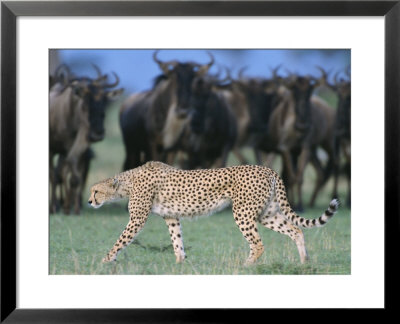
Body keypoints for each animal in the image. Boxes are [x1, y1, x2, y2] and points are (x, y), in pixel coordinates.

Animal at [87, 162, 338, 266]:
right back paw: (304, 263)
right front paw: (180, 263)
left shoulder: (137, 219)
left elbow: (120, 240)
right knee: (296, 230)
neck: (127, 182)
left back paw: (245, 266)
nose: (89, 201)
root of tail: (268, 168)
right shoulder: (171, 217)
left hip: (243, 213)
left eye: (96, 191)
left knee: (258, 244)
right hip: (266, 213)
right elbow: (177, 240)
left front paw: (105, 260)